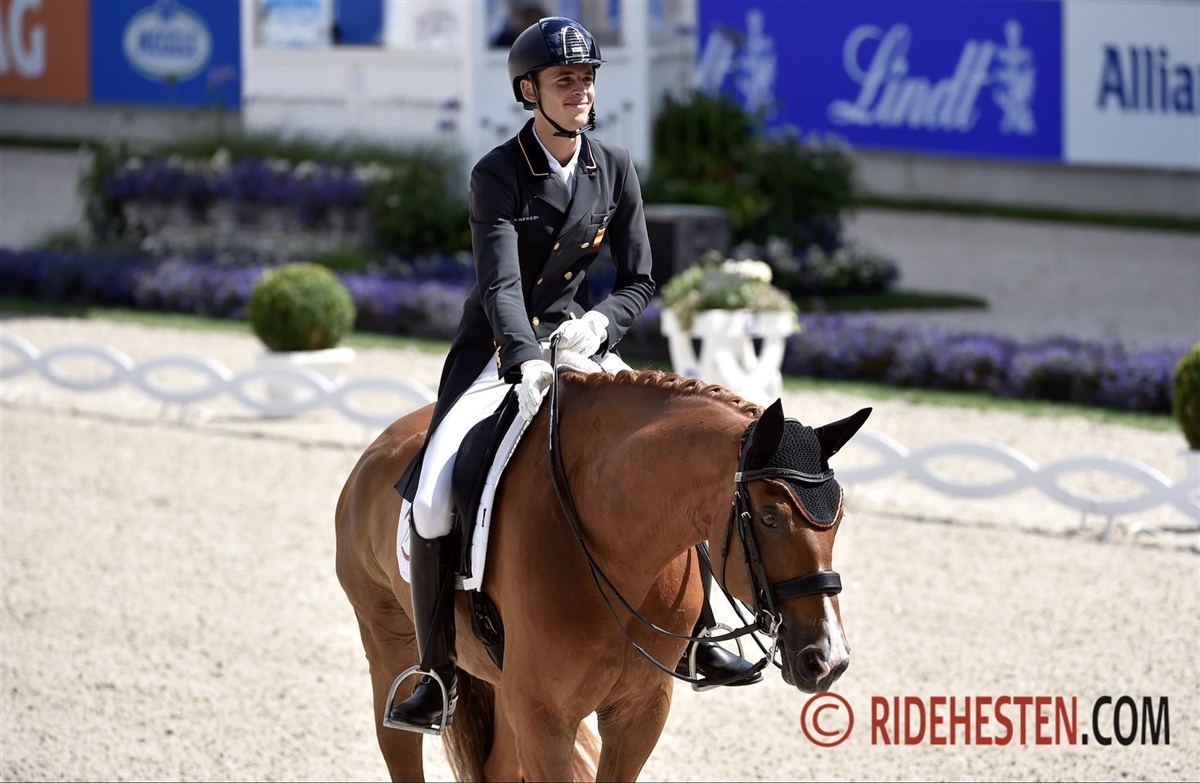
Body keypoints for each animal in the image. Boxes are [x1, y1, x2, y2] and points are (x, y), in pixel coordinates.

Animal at [335, 368, 871, 782]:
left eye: (841, 516)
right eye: (769, 518)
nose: (829, 659)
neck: (617, 548)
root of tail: (383, 444)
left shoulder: (639, 711)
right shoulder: (546, 718)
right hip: (388, 640)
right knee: (399, 743)